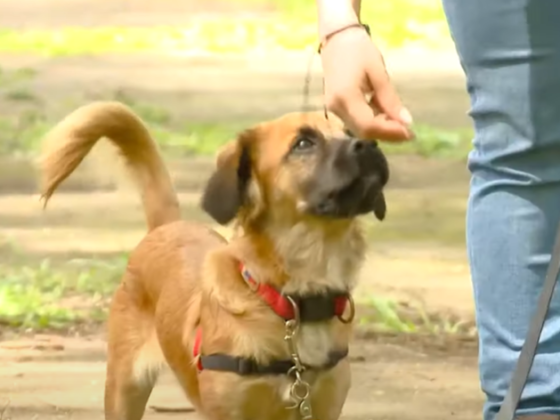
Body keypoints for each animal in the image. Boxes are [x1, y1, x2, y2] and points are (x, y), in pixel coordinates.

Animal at [39, 101, 390, 420]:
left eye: (349, 132)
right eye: (303, 143)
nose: (370, 144)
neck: (293, 300)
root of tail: (167, 226)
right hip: (125, 389)